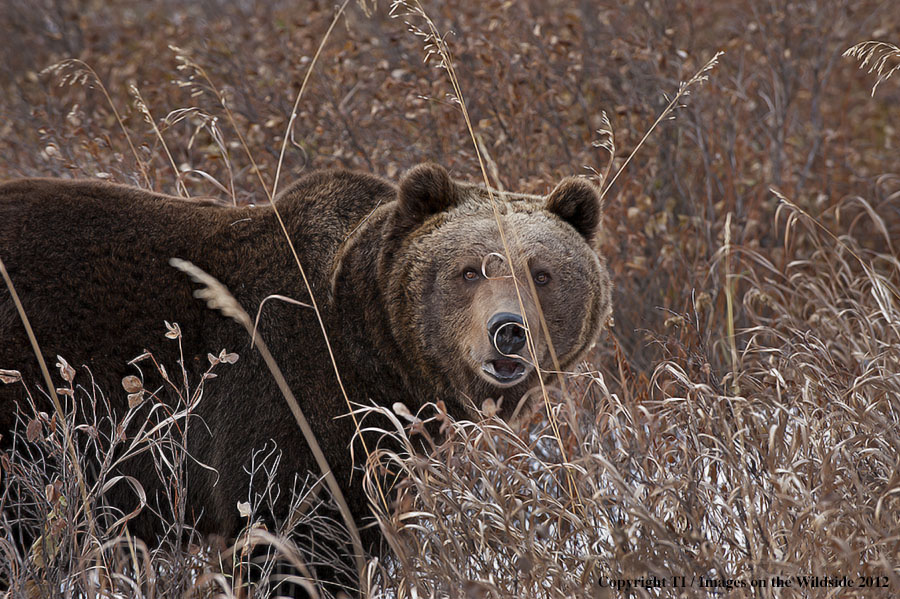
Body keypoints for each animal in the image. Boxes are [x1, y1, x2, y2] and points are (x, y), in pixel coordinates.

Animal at [0, 163, 612, 589]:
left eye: (542, 273)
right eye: (469, 271)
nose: (509, 332)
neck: (372, 355)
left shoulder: (377, 451)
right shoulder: (281, 398)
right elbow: (293, 537)